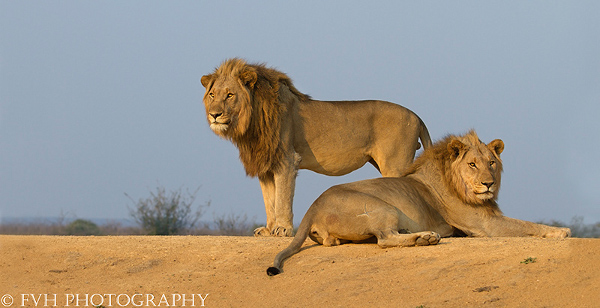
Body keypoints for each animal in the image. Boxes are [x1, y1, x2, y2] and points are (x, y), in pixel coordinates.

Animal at [202, 59, 432, 237]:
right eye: (212, 94)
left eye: (230, 95)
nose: (214, 114)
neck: (251, 122)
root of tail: (417, 116)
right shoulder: (265, 165)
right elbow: (270, 200)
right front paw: (268, 230)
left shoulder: (287, 160)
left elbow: (282, 198)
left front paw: (283, 230)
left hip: (396, 164)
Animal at [268, 131, 572, 276]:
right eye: (472, 164)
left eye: (492, 163)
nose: (488, 184)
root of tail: (312, 207)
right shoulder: (486, 226)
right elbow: (527, 225)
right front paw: (561, 231)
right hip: (383, 207)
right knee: (385, 240)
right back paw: (425, 238)